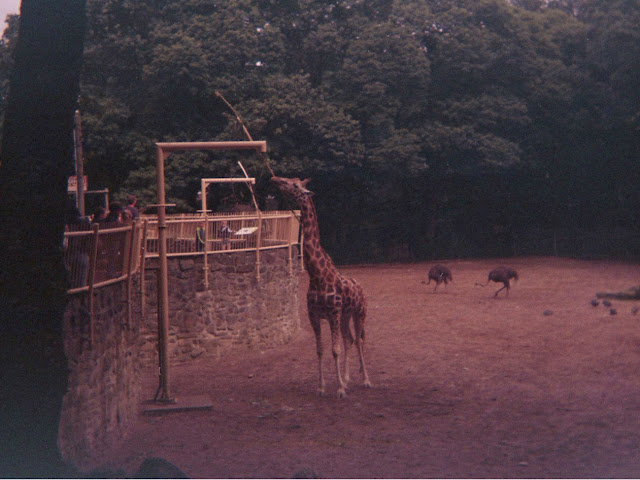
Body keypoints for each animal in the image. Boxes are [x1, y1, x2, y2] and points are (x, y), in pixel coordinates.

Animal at [268, 176, 370, 398]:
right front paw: (323, 387)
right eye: (290, 180)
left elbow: (335, 350)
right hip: (345, 316)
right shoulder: (314, 315)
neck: (317, 275)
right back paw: (348, 378)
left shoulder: (332, 314)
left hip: (359, 313)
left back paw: (366, 380)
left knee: (359, 341)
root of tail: (361, 287)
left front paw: (339, 389)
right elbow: (321, 349)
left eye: (295, 185)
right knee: (349, 340)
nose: (275, 178)